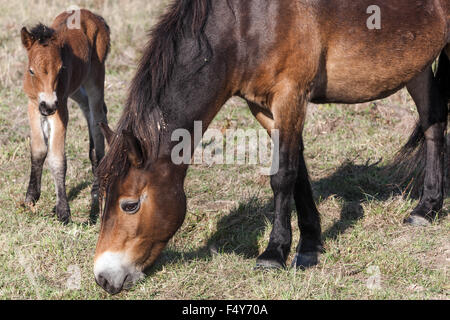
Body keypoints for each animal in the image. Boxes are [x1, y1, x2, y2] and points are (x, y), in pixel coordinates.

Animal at [21, 10, 111, 225]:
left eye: (61, 69)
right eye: (31, 71)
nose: (48, 106)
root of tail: (93, 15)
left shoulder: (60, 108)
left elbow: (56, 158)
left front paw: (63, 211)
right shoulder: (33, 106)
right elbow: (38, 150)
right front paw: (31, 198)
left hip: (95, 77)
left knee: (98, 115)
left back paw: (97, 185)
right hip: (76, 88)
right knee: (88, 109)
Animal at [93, 0, 448, 294]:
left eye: (130, 205)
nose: (104, 277)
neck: (244, 25)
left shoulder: (290, 94)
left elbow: (282, 176)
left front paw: (274, 252)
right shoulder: (263, 107)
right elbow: (298, 172)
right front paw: (309, 244)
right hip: (415, 64)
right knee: (433, 124)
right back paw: (426, 208)